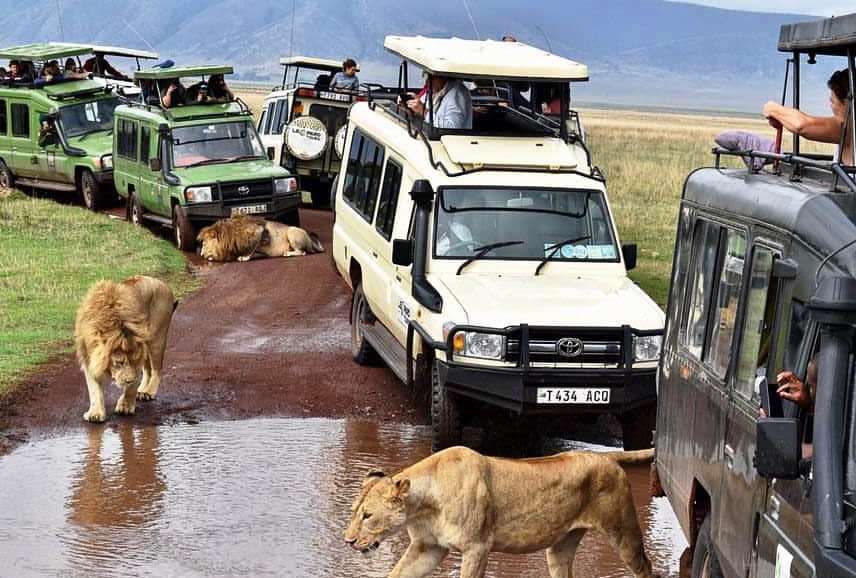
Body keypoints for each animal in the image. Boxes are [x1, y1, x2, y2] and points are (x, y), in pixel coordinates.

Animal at [75, 272, 177, 420]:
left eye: (133, 361)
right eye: (119, 362)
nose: (129, 380)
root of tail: (163, 284)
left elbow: (131, 388)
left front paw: (125, 406)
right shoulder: (88, 356)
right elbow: (94, 388)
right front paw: (95, 413)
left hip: (157, 338)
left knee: (157, 369)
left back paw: (149, 392)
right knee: (148, 370)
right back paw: (142, 391)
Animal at [348, 446, 656, 576]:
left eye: (368, 515)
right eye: (353, 512)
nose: (348, 541)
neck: (423, 506)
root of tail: (604, 455)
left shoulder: (477, 547)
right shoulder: (429, 547)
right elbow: (397, 574)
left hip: (623, 531)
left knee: (645, 566)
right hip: (560, 548)